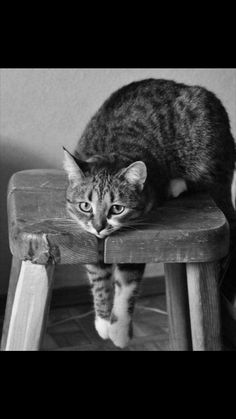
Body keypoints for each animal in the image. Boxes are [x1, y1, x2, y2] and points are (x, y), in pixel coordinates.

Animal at [63, 80, 236, 350]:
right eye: (85, 206)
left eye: (117, 208)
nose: (100, 227)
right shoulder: (88, 238)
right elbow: (98, 278)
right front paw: (102, 321)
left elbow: (127, 286)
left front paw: (119, 331)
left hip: (207, 157)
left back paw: (176, 185)